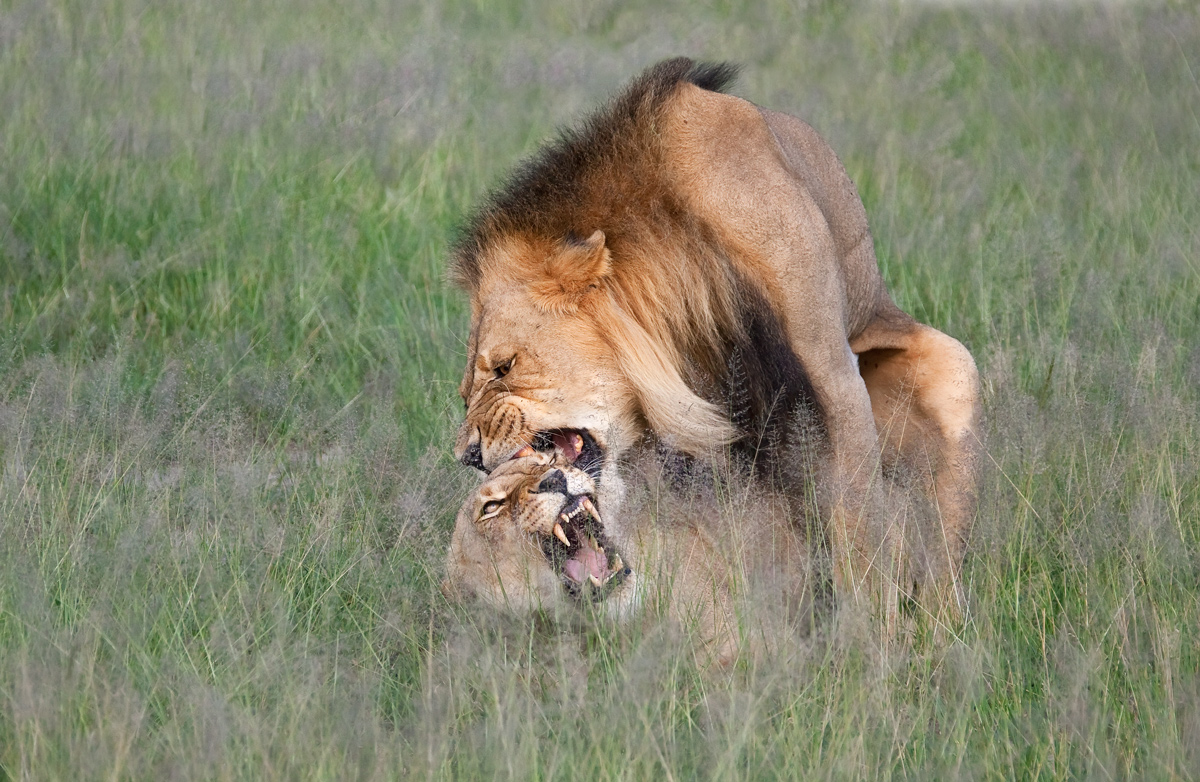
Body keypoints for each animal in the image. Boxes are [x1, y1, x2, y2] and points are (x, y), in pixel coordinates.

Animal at [449, 57, 981, 629]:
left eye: (504, 367)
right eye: (464, 390)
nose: (468, 455)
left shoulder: (832, 383)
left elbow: (859, 522)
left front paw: (868, 631)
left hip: (956, 372)